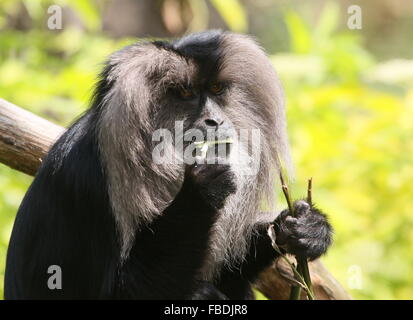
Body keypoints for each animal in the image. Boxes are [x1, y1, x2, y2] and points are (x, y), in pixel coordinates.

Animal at [4, 30, 332, 300]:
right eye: (186, 93)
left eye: (216, 89)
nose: (215, 121)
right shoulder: (86, 185)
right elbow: (124, 290)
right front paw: (203, 187)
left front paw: (306, 228)